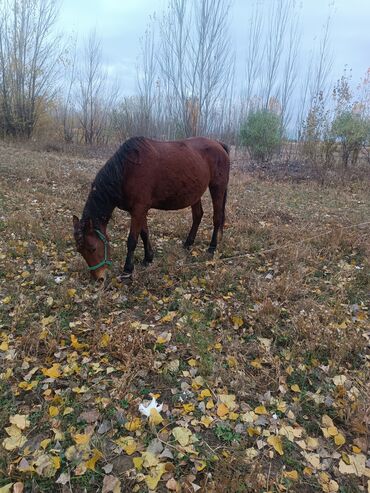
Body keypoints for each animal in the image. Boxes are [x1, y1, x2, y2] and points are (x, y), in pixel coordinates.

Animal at [73, 136, 230, 280]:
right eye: (80, 251)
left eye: (92, 248)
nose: (99, 278)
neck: (127, 170)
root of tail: (219, 144)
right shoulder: (140, 210)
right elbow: (144, 233)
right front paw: (147, 259)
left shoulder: (138, 210)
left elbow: (132, 240)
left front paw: (127, 271)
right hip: (195, 193)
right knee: (198, 215)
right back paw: (187, 244)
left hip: (217, 188)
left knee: (217, 217)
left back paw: (211, 248)